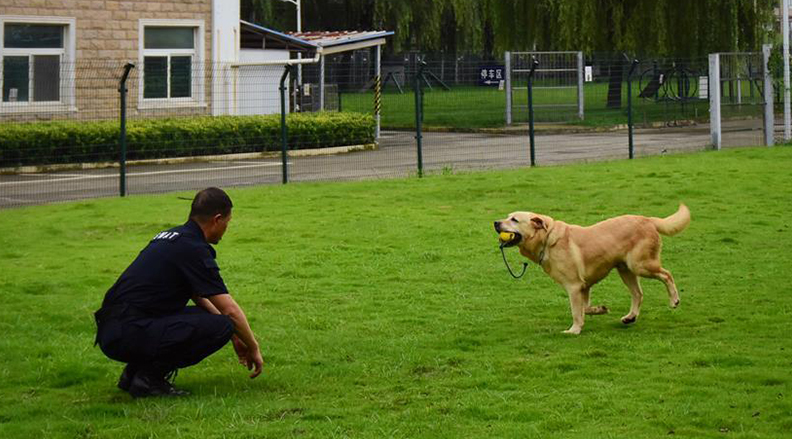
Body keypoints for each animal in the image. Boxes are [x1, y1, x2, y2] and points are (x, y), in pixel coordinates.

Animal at [496, 205, 688, 336]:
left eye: (514, 219)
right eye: (507, 217)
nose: (495, 223)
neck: (548, 239)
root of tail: (648, 219)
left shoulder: (574, 286)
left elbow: (576, 311)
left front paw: (574, 330)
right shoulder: (584, 286)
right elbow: (585, 308)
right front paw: (599, 309)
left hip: (640, 265)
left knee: (667, 274)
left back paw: (674, 300)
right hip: (625, 270)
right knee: (638, 294)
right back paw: (630, 317)